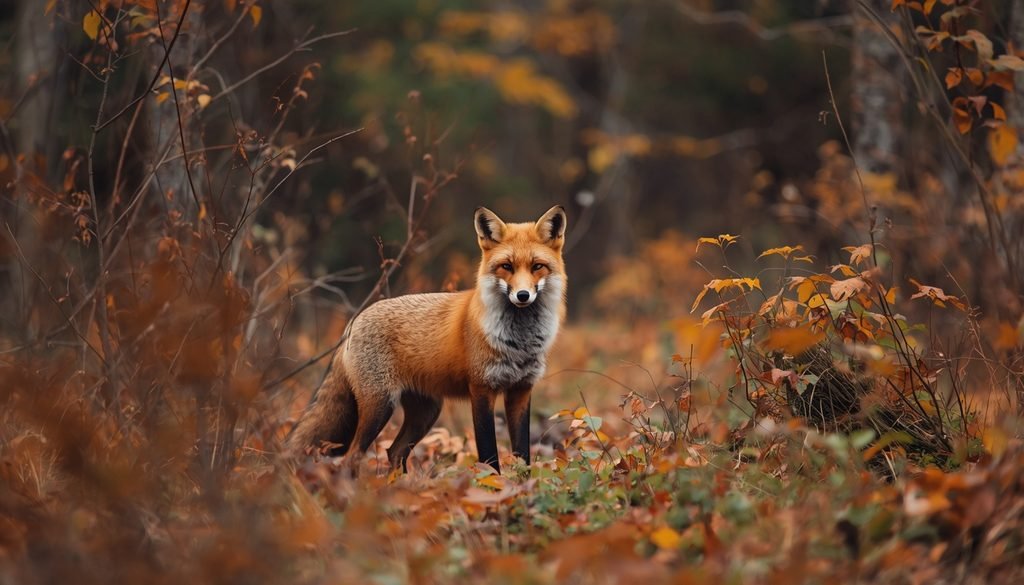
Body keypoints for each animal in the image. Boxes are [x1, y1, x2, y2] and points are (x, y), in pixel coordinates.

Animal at [287, 205, 568, 473]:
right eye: (507, 266)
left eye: (537, 266)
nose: (522, 295)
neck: (519, 342)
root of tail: (353, 322)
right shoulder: (481, 389)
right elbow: (489, 456)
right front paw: (493, 486)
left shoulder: (521, 390)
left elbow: (524, 456)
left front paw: (521, 485)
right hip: (380, 406)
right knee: (352, 456)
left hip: (426, 413)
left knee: (394, 451)